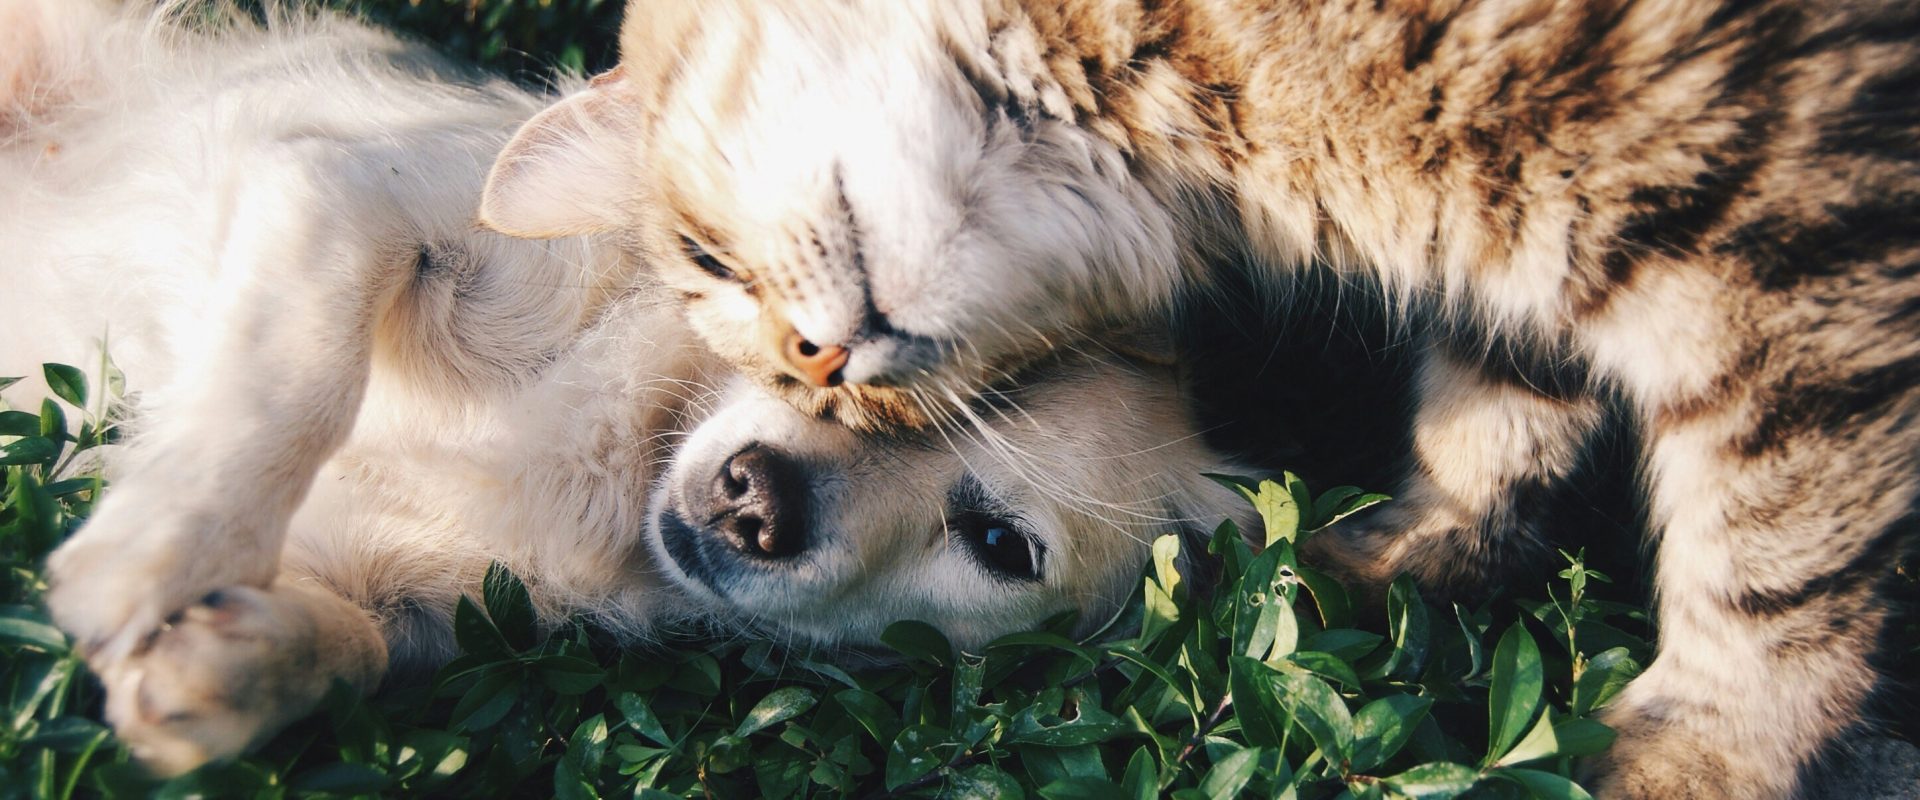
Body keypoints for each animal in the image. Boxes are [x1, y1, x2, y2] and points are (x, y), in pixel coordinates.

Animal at [0, 0, 1251, 775]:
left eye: (1000, 544)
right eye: (816, 356)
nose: (757, 500)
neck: (629, 451)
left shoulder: (418, 606)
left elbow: (352, 648)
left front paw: (226, 667)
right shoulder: (345, 190)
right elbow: (294, 378)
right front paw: (156, 550)